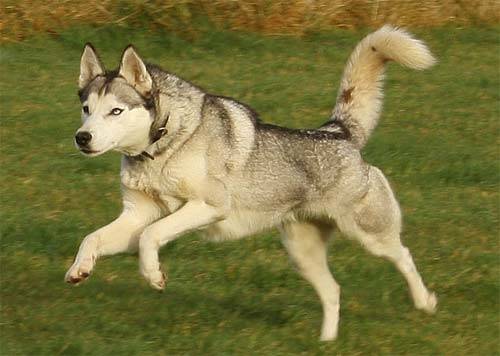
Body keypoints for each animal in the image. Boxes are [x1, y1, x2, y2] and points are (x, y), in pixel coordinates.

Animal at [65, 25, 438, 342]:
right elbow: (93, 238)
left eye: (116, 111)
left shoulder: (208, 206)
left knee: (403, 256)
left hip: (369, 234)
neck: (161, 146)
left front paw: (153, 275)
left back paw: (425, 301)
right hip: (302, 253)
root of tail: (338, 131)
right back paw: (326, 342)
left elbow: (150, 237)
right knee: (333, 291)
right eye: (86, 108)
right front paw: (79, 269)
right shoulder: (136, 214)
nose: (82, 138)